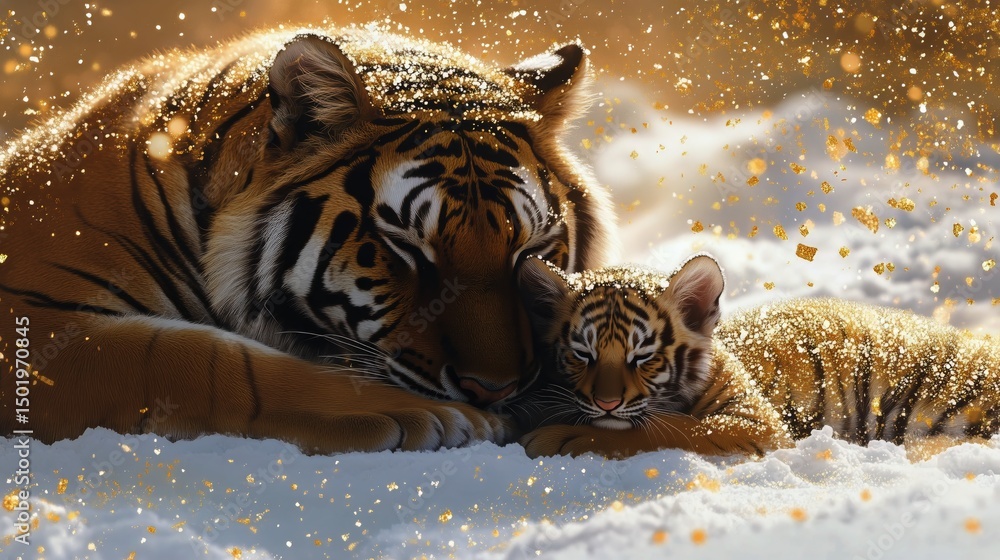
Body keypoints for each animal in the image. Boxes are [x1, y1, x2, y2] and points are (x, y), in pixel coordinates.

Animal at [0, 26, 617, 454]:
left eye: (529, 251)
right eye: (405, 247)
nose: (494, 390)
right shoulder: (29, 318)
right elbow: (204, 361)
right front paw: (438, 418)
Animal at [514, 254, 1000, 458]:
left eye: (643, 355)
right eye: (582, 353)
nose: (607, 403)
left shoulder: (760, 422)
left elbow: (672, 428)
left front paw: (560, 438)